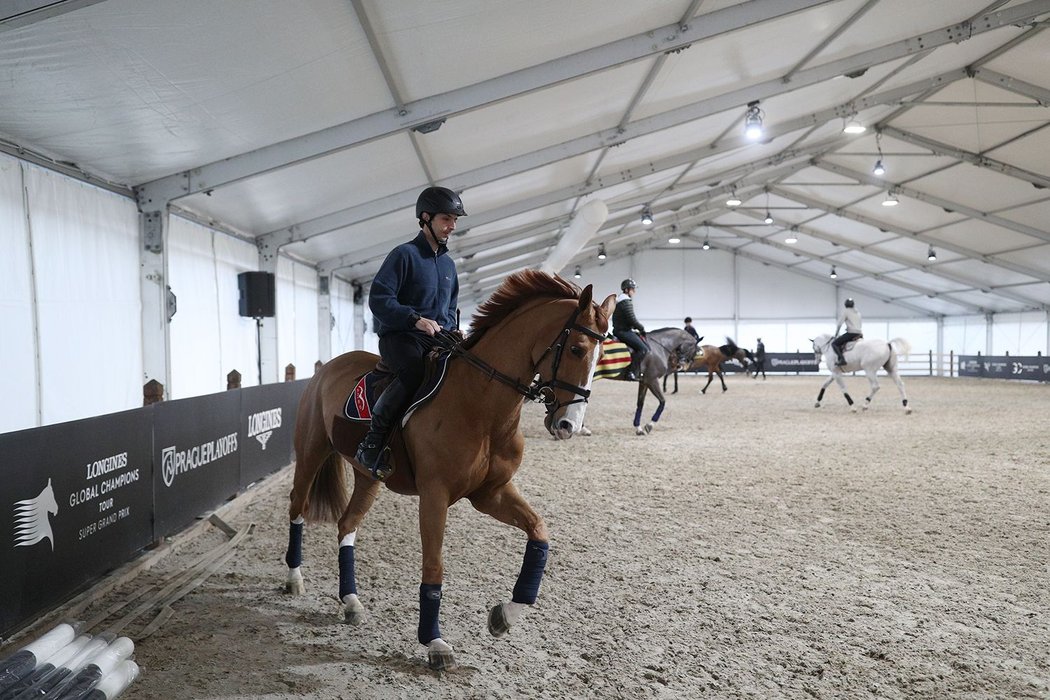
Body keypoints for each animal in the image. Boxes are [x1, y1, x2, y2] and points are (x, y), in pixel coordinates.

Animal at [285, 270, 613, 671]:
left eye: (601, 355)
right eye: (577, 349)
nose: (569, 425)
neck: (480, 403)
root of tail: (327, 367)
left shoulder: (491, 493)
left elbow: (539, 532)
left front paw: (505, 615)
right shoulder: (435, 495)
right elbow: (434, 566)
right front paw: (435, 643)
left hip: (367, 478)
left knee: (347, 525)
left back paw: (351, 602)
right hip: (311, 454)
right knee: (298, 508)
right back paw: (294, 579)